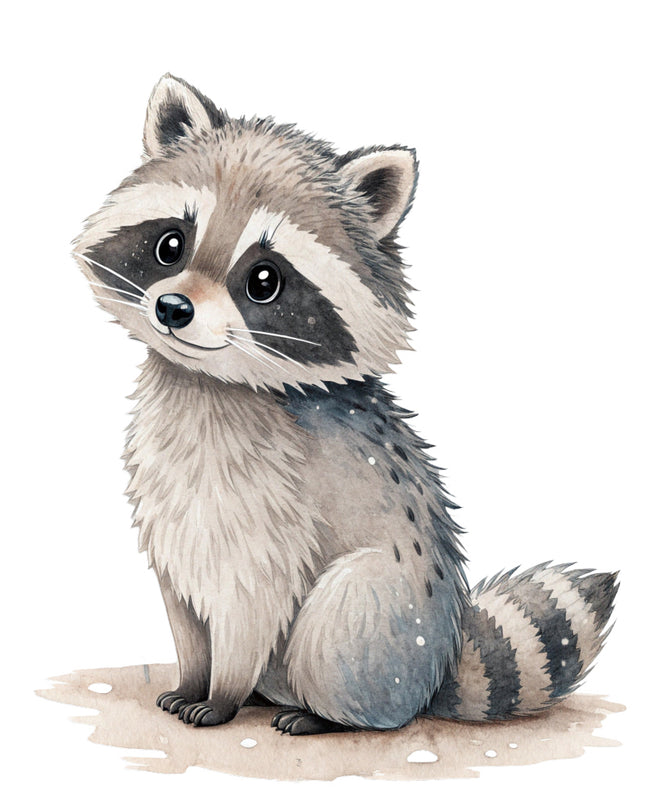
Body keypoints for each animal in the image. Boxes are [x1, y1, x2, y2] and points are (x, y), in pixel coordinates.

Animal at [73, 75, 617, 734]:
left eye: (263, 280)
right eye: (171, 244)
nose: (173, 310)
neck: (206, 380)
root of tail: (436, 670)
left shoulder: (271, 505)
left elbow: (254, 601)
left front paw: (222, 693)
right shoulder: (173, 507)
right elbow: (183, 603)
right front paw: (193, 677)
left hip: (383, 627)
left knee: (343, 611)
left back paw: (322, 713)